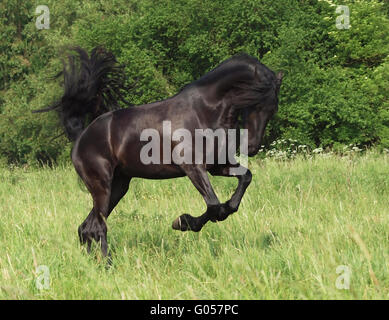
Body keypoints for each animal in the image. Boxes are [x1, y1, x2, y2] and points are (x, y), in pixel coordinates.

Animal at [34, 46, 280, 256]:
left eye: (273, 109)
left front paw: (220, 210)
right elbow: (213, 205)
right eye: (256, 100)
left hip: (118, 186)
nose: (252, 147)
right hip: (101, 187)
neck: (204, 111)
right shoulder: (193, 167)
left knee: (86, 227)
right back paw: (107, 265)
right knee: (97, 226)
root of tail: (81, 136)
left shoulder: (217, 166)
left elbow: (244, 180)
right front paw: (183, 222)